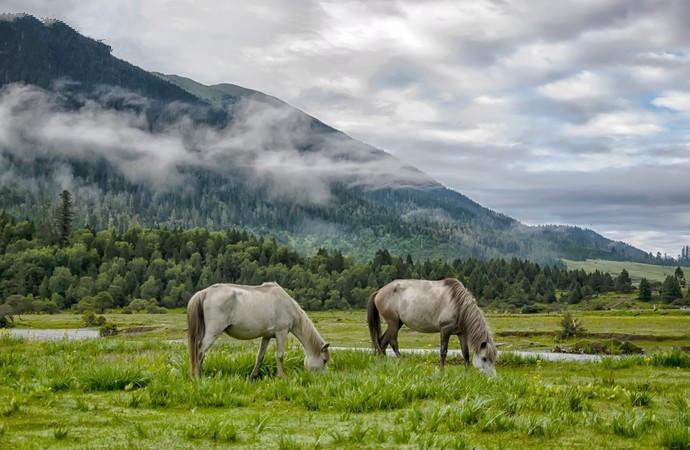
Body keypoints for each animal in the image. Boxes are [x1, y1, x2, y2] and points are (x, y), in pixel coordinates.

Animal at [187, 284, 330, 378]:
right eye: (324, 360)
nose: (324, 378)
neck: (287, 305)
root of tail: (205, 292)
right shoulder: (281, 332)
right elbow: (280, 355)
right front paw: (282, 377)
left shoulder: (266, 336)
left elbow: (260, 356)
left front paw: (253, 376)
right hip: (213, 333)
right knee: (200, 352)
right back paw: (198, 377)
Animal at [368, 278, 498, 376]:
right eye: (484, 358)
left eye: (493, 359)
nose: (492, 378)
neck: (458, 304)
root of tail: (379, 292)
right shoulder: (445, 330)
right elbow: (443, 351)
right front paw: (441, 371)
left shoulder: (462, 333)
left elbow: (465, 353)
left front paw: (467, 373)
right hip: (393, 323)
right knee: (386, 342)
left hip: (397, 323)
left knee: (384, 342)